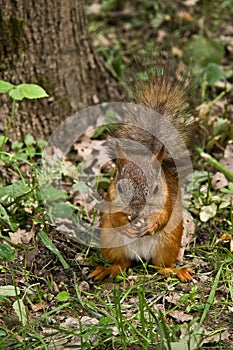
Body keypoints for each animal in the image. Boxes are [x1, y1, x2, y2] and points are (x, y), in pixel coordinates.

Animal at [89, 55, 197, 284]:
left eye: (156, 188)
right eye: (121, 188)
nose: (137, 210)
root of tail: (141, 256)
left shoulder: (168, 197)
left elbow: (164, 215)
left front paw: (151, 224)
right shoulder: (111, 197)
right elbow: (114, 216)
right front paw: (126, 223)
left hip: (168, 243)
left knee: (160, 266)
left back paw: (175, 271)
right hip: (110, 242)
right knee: (123, 263)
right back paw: (108, 269)